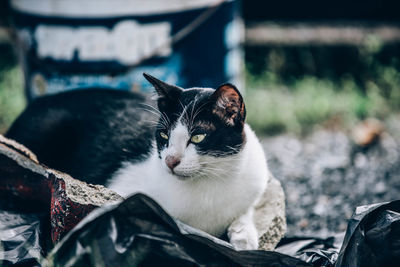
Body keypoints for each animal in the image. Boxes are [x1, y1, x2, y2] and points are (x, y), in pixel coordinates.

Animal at [5, 74, 268, 251]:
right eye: (163, 135)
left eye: (197, 137)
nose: (170, 161)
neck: (210, 182)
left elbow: (244, 210)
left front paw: (244, 236)